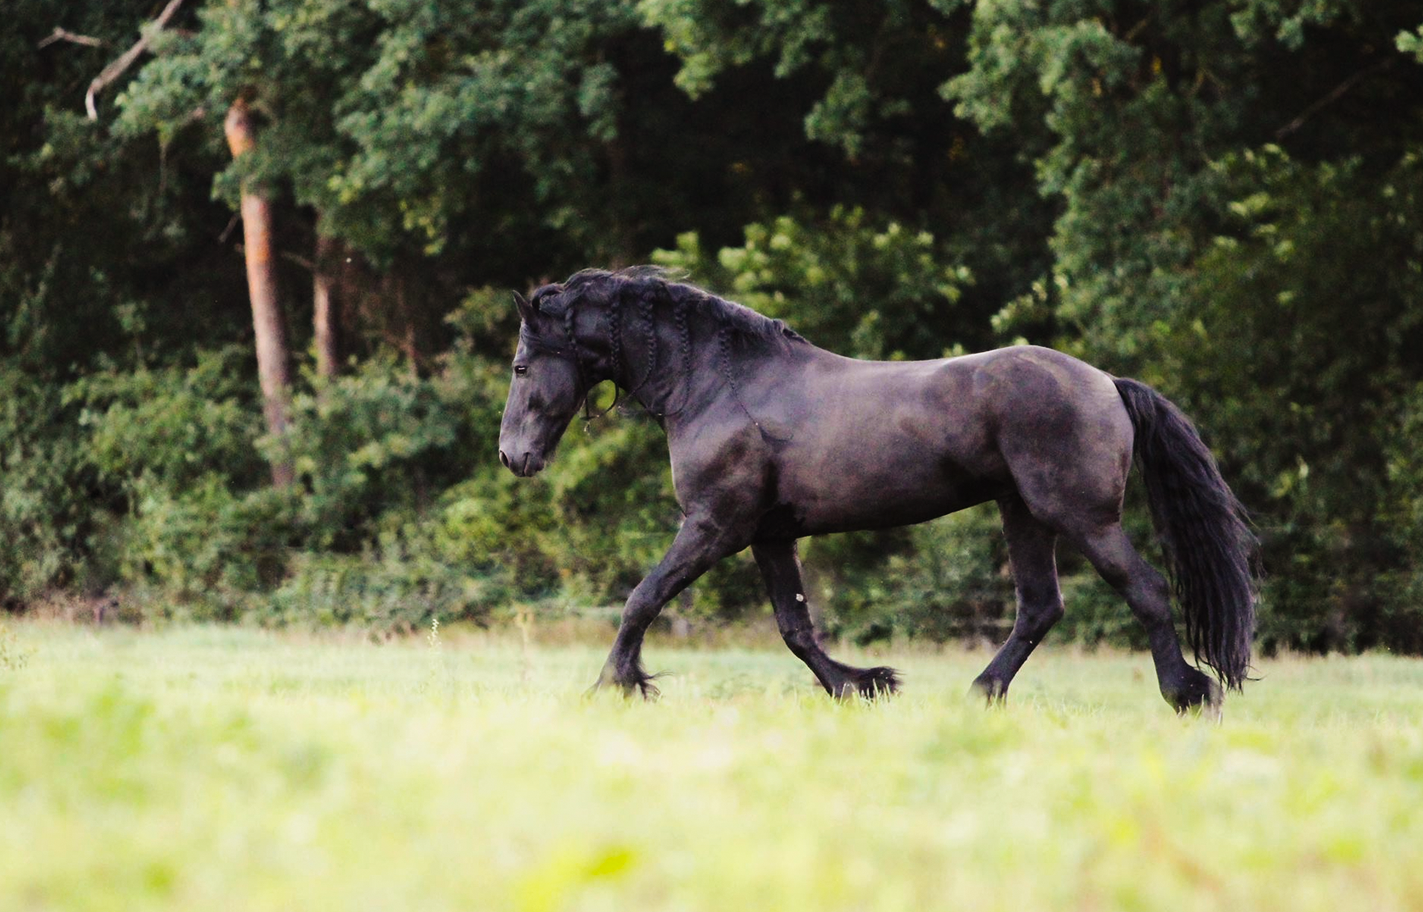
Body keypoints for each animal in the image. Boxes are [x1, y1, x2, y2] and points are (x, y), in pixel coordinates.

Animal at [498, 268, 1258, 713]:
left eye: (520, 364)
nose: (513, 456)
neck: (718, 384)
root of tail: (1107, 383)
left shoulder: (714, 525)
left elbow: (642, 598)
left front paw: (613, 685)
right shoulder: (769, 536)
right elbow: (796, 629)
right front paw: (862, 683)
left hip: (1079, 516)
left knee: (1144, 590)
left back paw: (1187, 693)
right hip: (1023, 512)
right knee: (1040, 607)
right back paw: (978, 693)